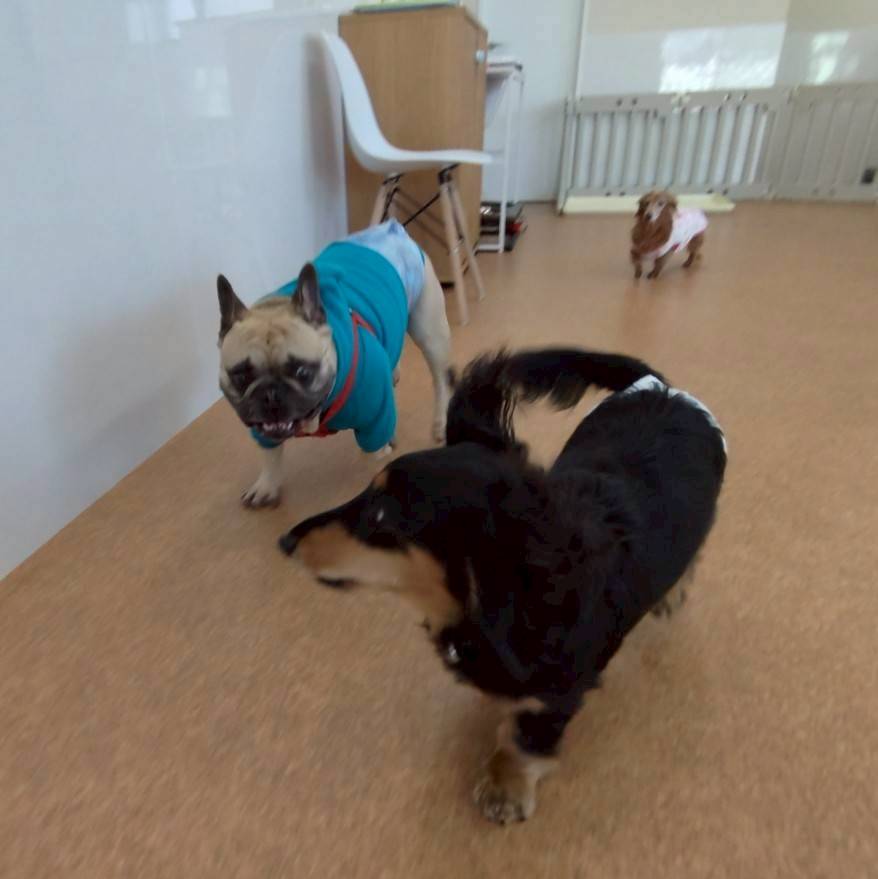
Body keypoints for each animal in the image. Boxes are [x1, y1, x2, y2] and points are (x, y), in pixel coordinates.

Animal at [217, 220, 453, 507]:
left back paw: (439, 423)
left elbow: (375, 457)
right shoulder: (264, 429)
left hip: (430, 333)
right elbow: (270, 453)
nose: (271, 395)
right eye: (241, 376)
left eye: (302, 371)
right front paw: (266, 485)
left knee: (440, 380)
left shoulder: (374, 422)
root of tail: (391, 228)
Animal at [278, 347, 727, 824]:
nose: (285, 541)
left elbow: (522, 737)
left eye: (382, 514)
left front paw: (506, 788)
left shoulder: (556, 693)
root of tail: (664, 390)